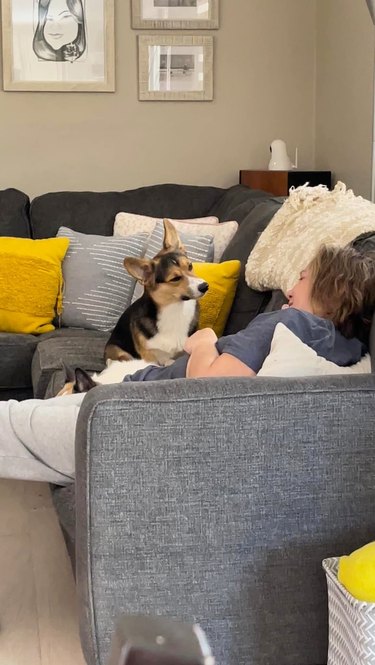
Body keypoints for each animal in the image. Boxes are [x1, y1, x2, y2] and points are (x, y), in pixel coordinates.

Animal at [104, 217, 210, 364]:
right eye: (175, 278)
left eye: (190, 266)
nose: (205, 286)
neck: (174, 308)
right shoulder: (149, 356)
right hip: (119, 351)